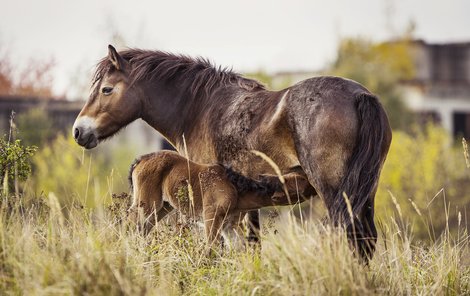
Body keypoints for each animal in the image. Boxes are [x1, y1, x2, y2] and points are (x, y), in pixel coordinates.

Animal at [127, 150, 316, 245]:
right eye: (302, 180)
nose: (314, 181)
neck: (236, 188)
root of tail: (140, 159)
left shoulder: (229, 226)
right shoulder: (211, 218)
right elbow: (211, 249)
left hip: (162, 207)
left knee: (142, 229)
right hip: (147, 204)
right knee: (130, 222)